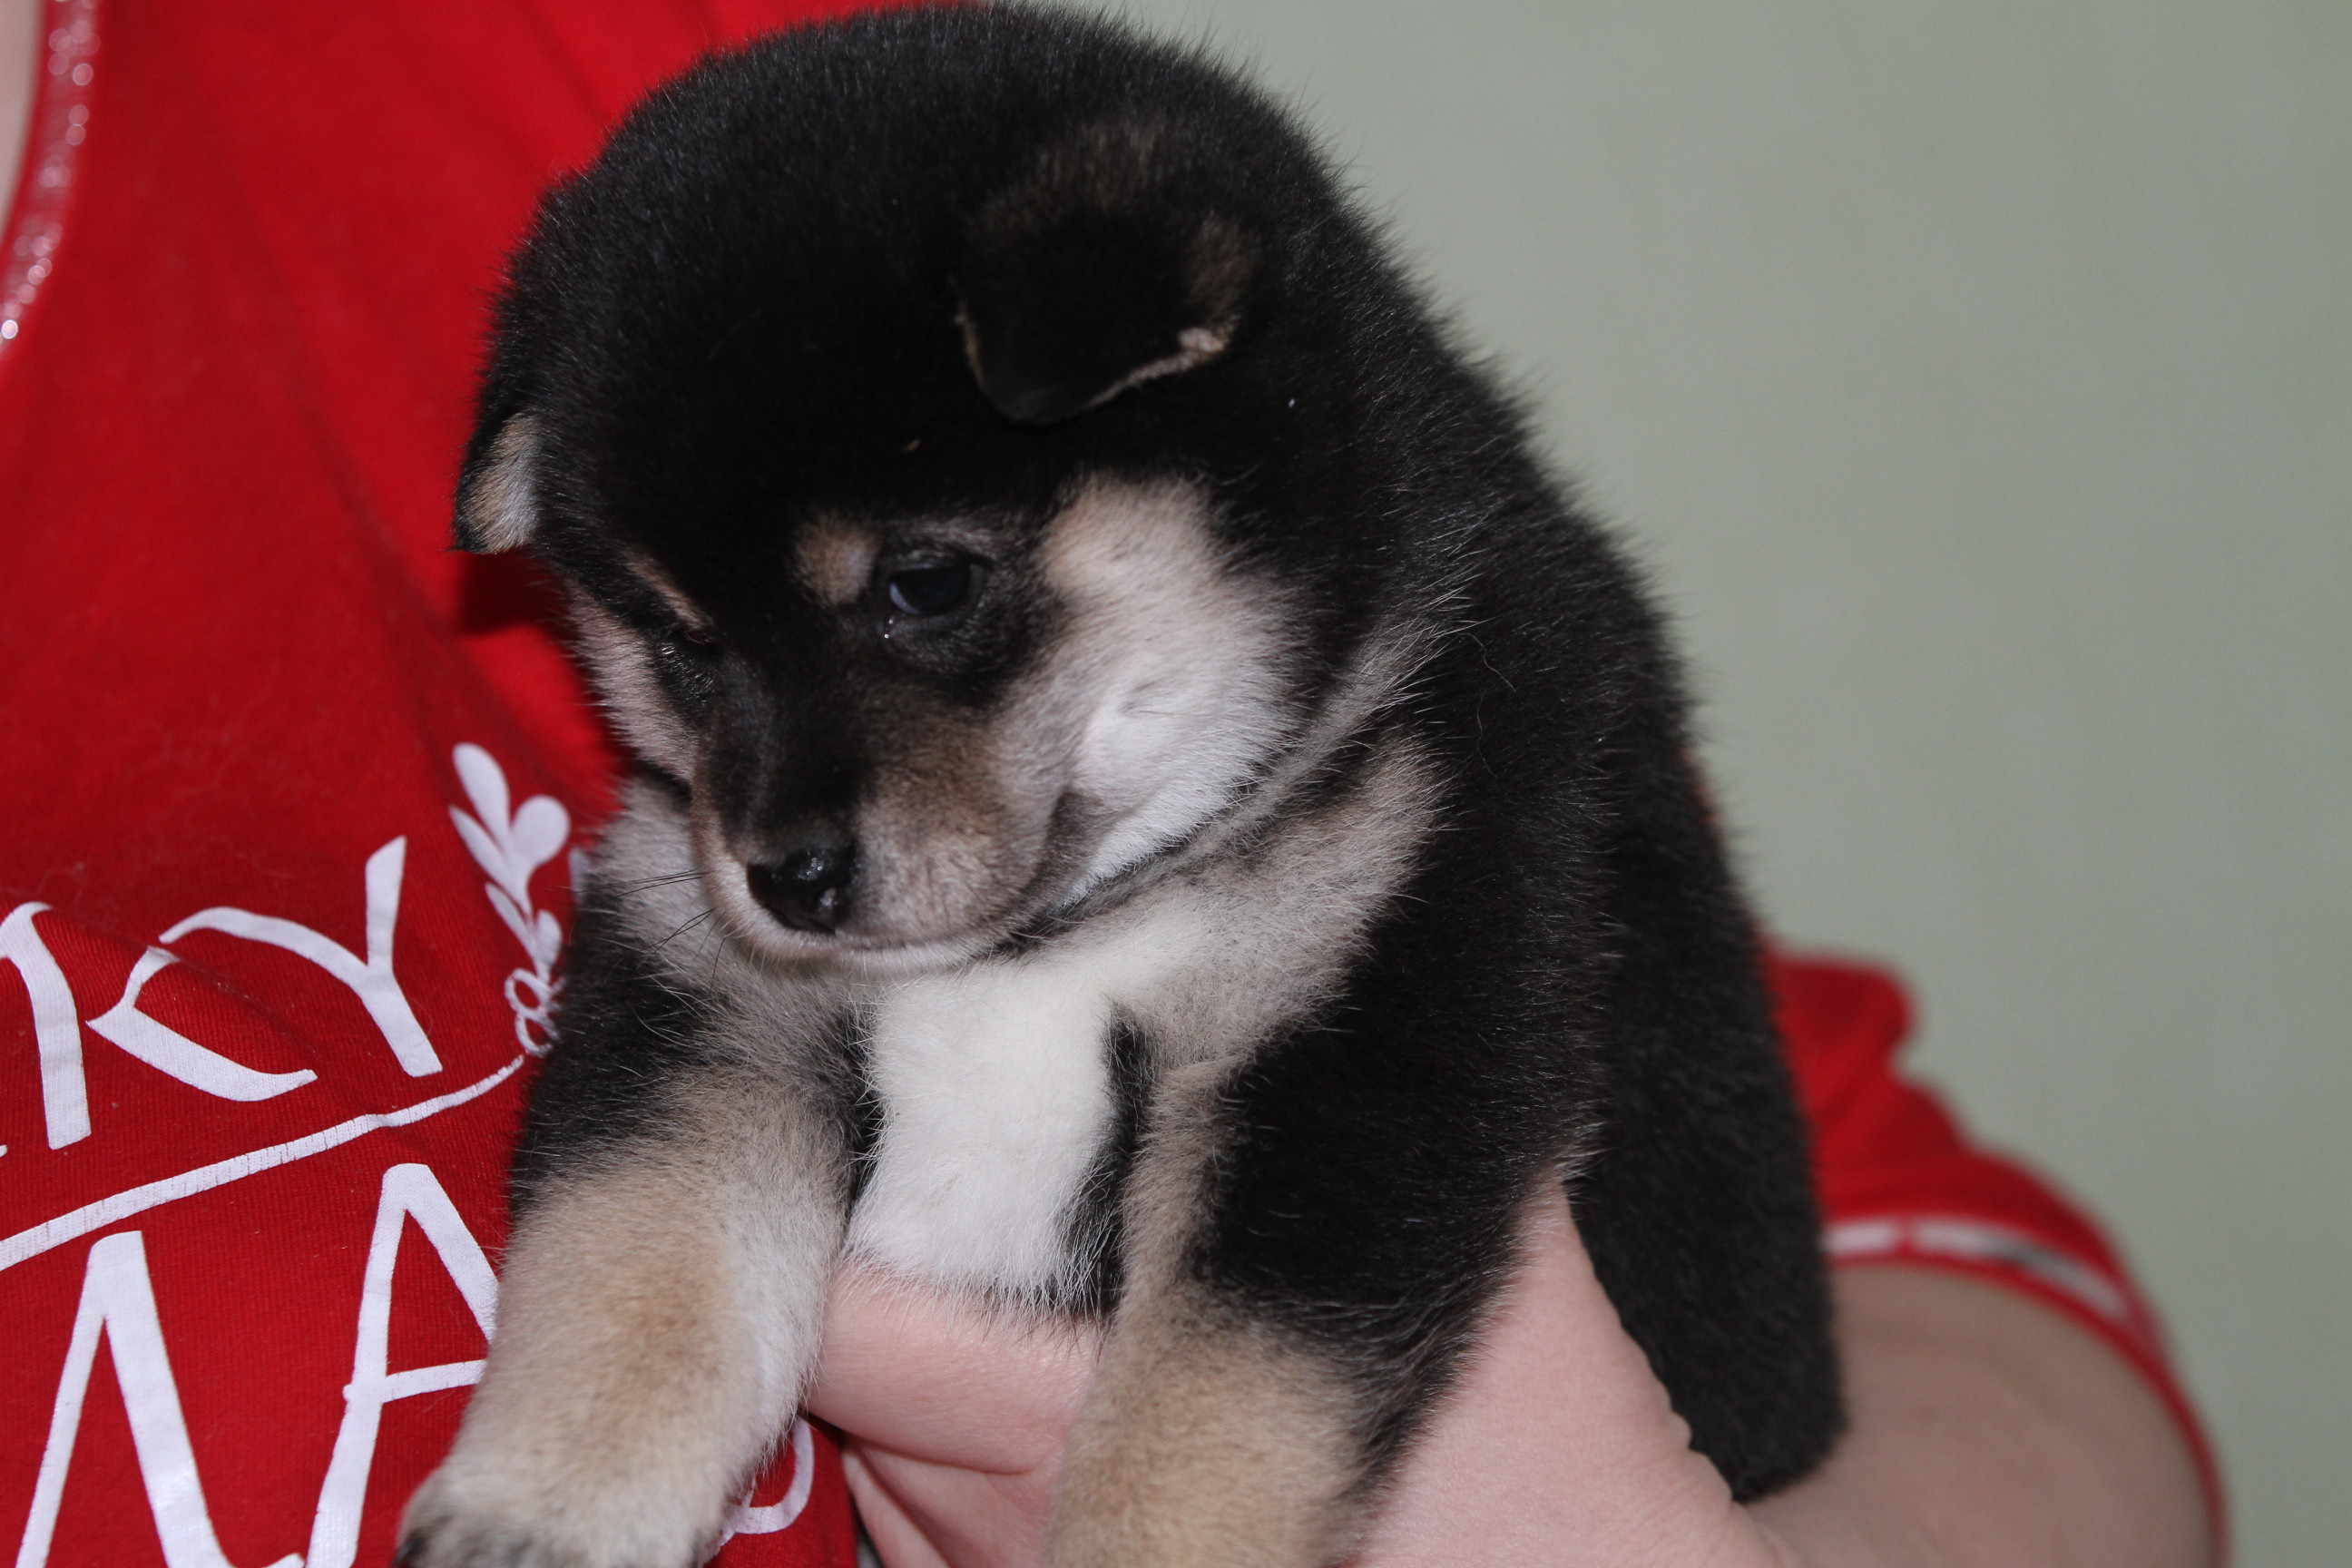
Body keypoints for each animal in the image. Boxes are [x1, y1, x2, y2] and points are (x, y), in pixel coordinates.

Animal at [400, 8, 1840, 1566]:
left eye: (926, 583)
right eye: (680, 640)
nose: (784, 877)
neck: (1050, 940)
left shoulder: (1366, 1027)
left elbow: (1206, 1414)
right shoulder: (707, 1002)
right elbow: (635, 1265)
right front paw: (539, 1506)